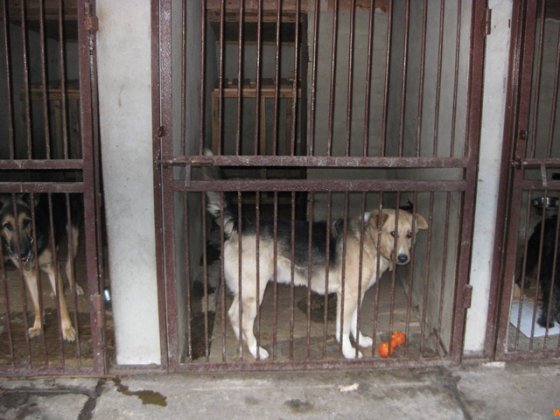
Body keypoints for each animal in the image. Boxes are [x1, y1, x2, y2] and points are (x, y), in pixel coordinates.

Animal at [0, 194, 83, 342]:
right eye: (7, 226)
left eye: (27, 222)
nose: (23, 253)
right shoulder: (29, 275)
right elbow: (36, 303)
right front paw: (38, 326)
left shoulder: (50, 267)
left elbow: (61, 303)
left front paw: (67, 329)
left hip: (73, 234)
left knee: (68, 264)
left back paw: (73, 286)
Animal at [205, 189, 429, 359]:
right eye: (393, 234)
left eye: (410, 235)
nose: (403, 258)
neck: (368, 239)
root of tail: (241, 224)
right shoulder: (348, 295)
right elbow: (344, 325)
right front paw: (348, 351)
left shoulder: (356, 294)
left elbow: (353, 321)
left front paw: (359, 340)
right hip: (254, 292)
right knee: (242, 320)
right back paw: (255, 350)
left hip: (245, 290)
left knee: (234, 316)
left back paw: (243, 344)